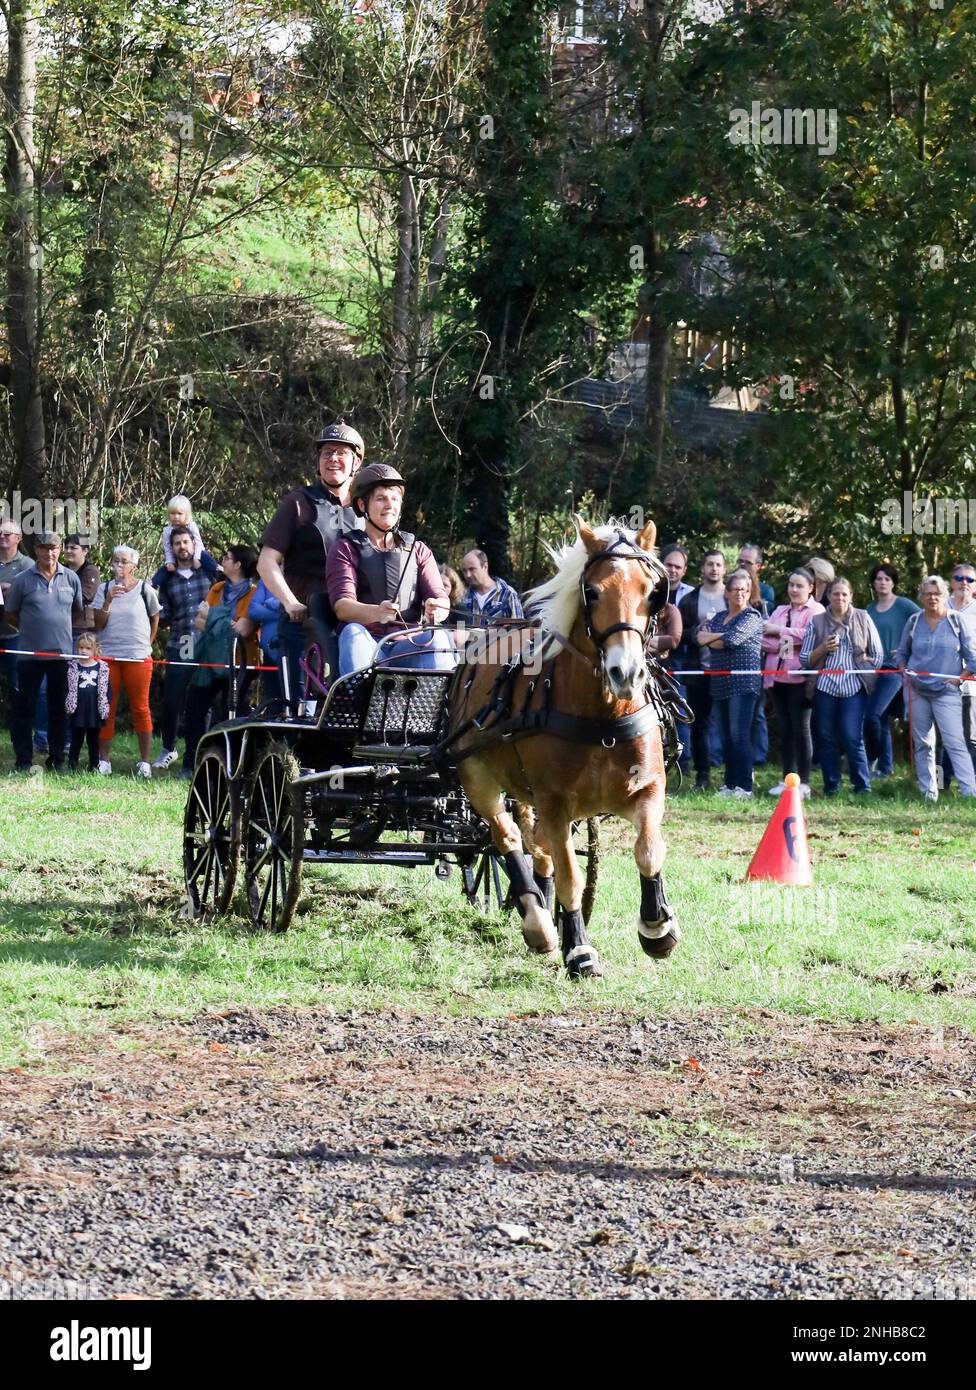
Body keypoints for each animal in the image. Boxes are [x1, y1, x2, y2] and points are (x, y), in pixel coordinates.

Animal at [445, 517, 681, 978]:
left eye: (653, 592)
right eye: (593, 592)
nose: (626, 672)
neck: (602, 717)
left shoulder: (648, 789)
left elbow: (648, 850)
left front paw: (656, 927)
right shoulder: (555, 802)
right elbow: (571, 875)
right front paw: (579, 949)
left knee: (536, 847)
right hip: (477, 775)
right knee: (507, 837)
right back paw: (538, 922)